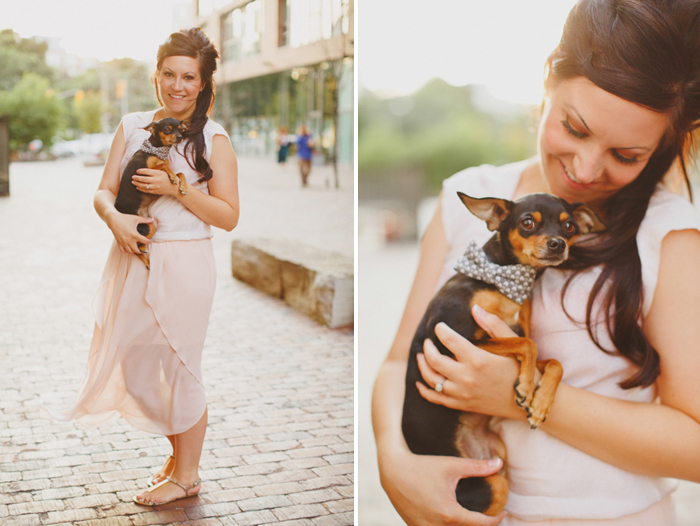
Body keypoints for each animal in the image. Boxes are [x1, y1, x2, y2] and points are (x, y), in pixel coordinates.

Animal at [116, 118, 190, 270]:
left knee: (137, 247)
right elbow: (163, 165)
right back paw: (146, 257)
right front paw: (172, 177)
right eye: (167, 129)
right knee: (135, 249)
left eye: (180, 129)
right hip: (144, 227)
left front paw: (184, 187)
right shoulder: (143, 172)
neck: (156, 151)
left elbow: (180, 172)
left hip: (150, 226)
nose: (180, 137)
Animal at [402, 192, 604, 516]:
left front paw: (539, 402)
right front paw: (524, 388)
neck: (501, 284)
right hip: (493, 486)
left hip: (500, 462)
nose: (558, 243)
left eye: (570, 226)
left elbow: (552, 361)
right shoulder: (449, 342)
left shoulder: (506, 336)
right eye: (527, 223)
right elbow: (527, 344)